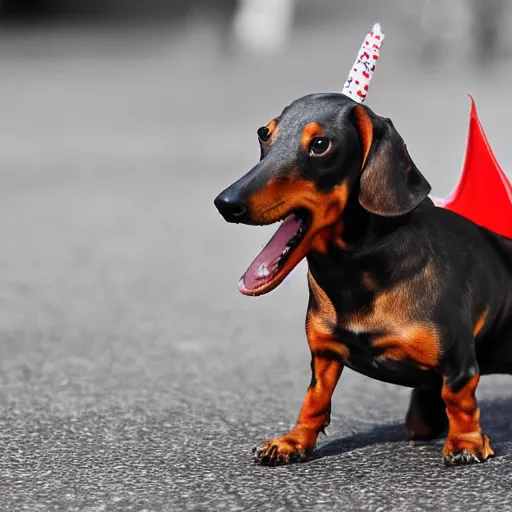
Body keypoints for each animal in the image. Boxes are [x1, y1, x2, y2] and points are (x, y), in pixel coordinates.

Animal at [213, 91, 512, 464]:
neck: (355, 271)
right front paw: (293, 441)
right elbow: (314, 399)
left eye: (321, 145)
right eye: (263, 134)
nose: (225, 203)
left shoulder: (458, 362)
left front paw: (465, 443)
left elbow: (460, 399)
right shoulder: (324, 356)